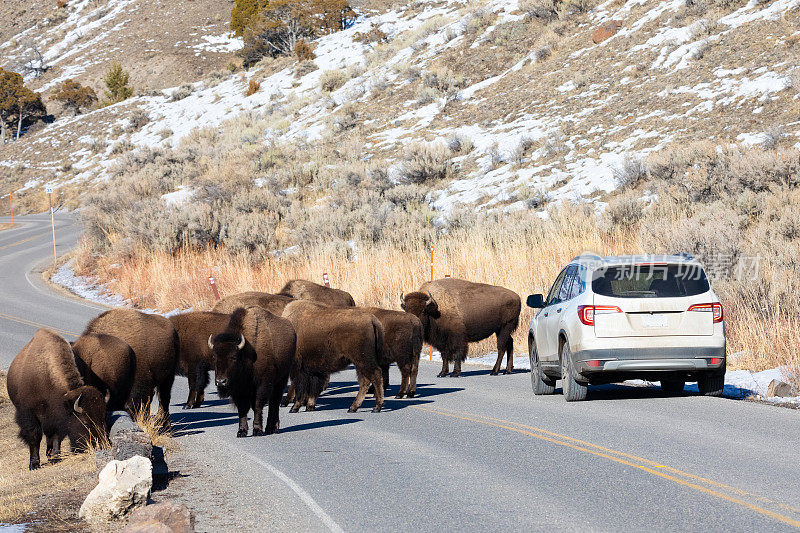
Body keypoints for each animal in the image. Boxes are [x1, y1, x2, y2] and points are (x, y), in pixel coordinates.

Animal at [7, 328, 108, 470]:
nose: (101, 446)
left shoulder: (56, 417)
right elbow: (34, 436)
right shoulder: (29, 414)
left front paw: (55, 457)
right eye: (86, 423)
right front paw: (34, 464)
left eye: (103, 417)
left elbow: (56, 436)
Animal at [209, 306, 300, 434]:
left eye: (234, 357)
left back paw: (272, 428)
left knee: (274, 402)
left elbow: (257, 405)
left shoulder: (262, 384)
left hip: (281, 379)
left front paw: (257, 430)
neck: (246, 352)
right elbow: (242, 409)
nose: (221, 382)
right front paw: (241, 431)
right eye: (214, 357)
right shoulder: (239, 390)